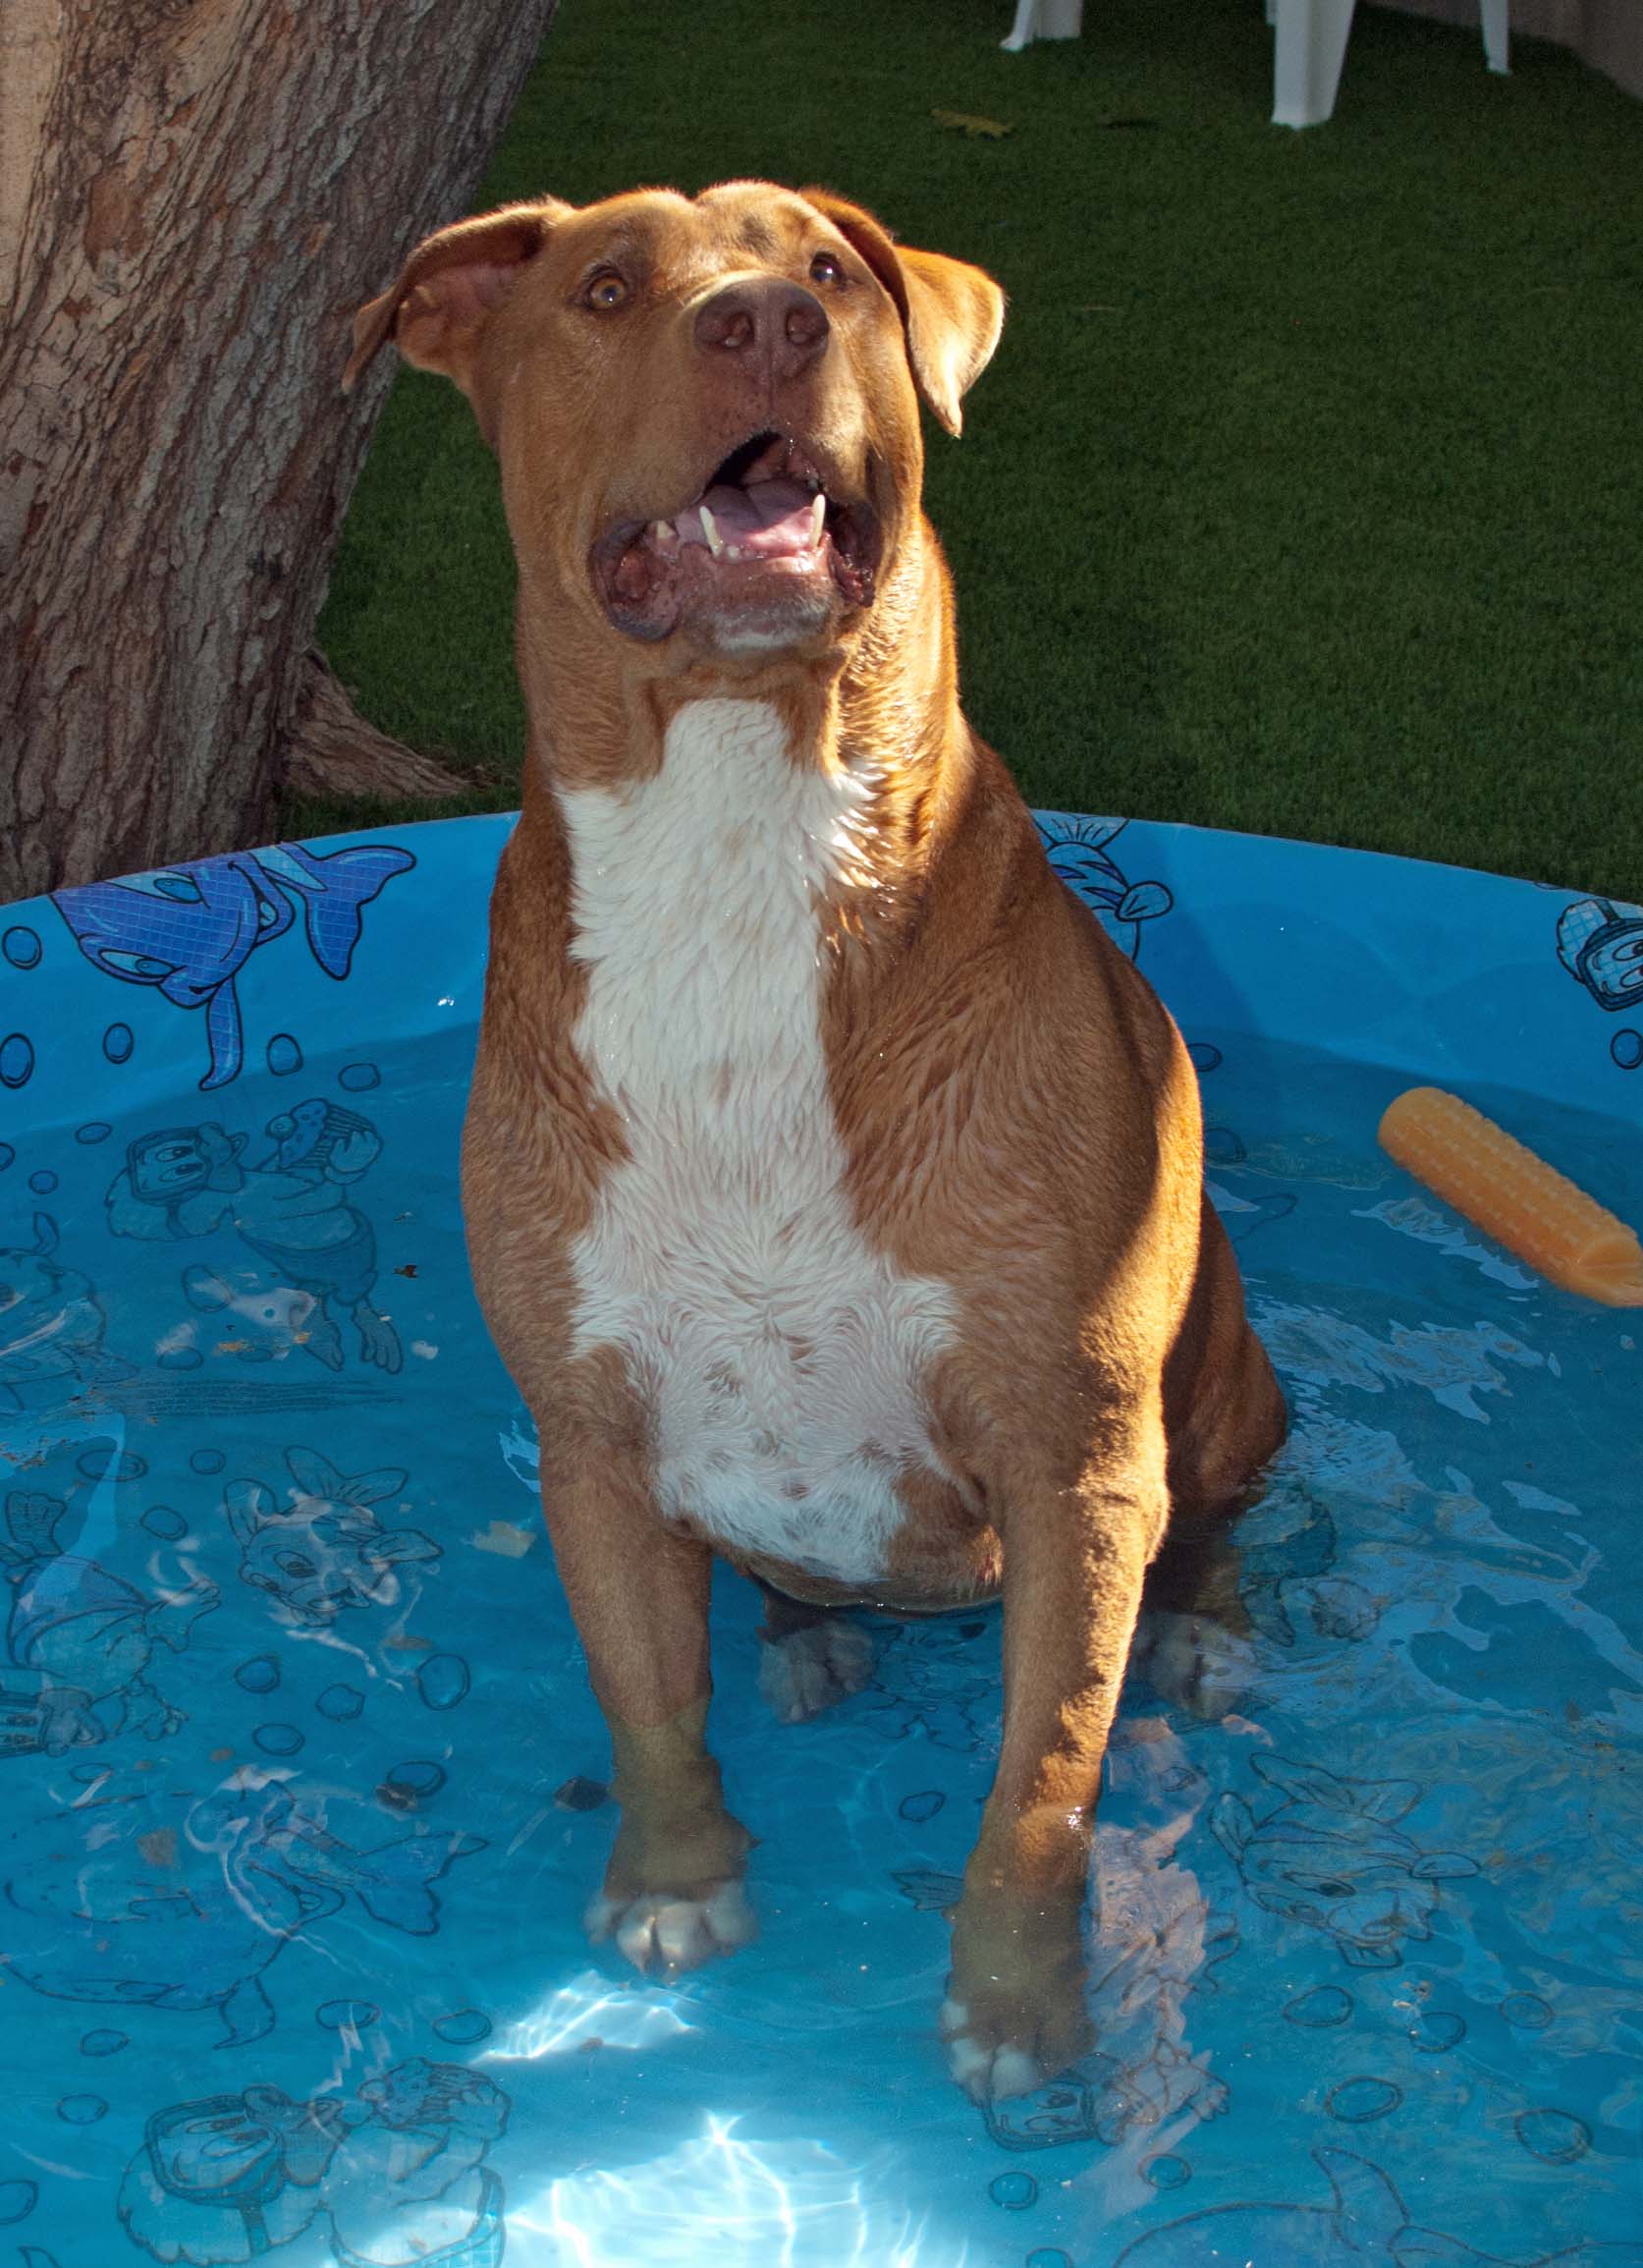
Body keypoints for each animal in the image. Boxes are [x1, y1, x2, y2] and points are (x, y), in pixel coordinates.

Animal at [349, 177, 1278, 2104]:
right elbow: (645, 1704)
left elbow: (1041, 1782)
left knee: (1214, 1520)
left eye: (833, 274)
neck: (734, 825)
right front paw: (674, 1881)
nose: (766, 320)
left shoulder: (1075, 1454)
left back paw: (1206, 1635)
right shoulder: (590, 1434)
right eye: (605, 288)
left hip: (1224, 1375)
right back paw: (803, 1637)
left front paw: (1016, 2005)